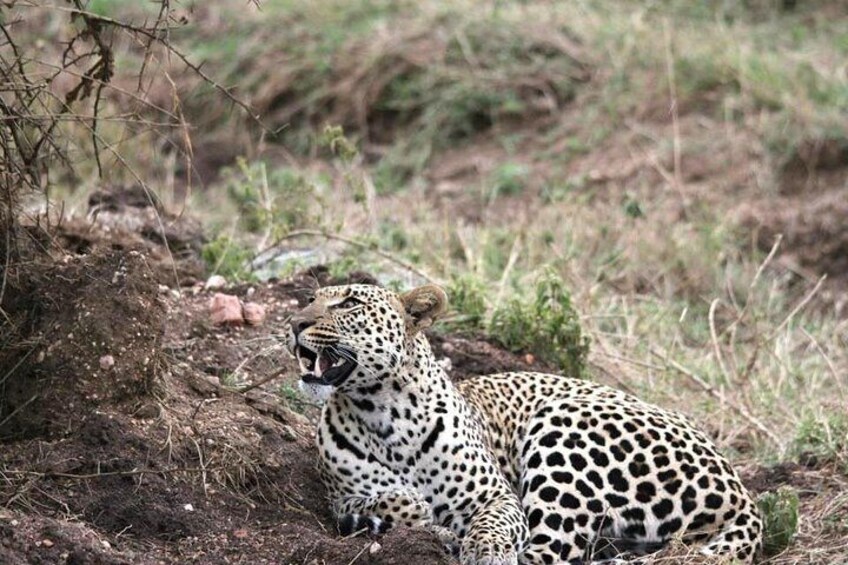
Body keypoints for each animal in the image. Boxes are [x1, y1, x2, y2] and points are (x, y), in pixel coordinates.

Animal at [287, 283, 763, 564]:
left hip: (564, 424)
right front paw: (417, 512)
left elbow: (494, 525)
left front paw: (482, 548)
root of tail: (744, 496)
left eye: (349, 303)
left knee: (551, 554)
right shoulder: (339, 499)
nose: (295, 323)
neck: (384, 412)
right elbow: (374, 502)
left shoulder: (496, 496)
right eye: (309, 299)